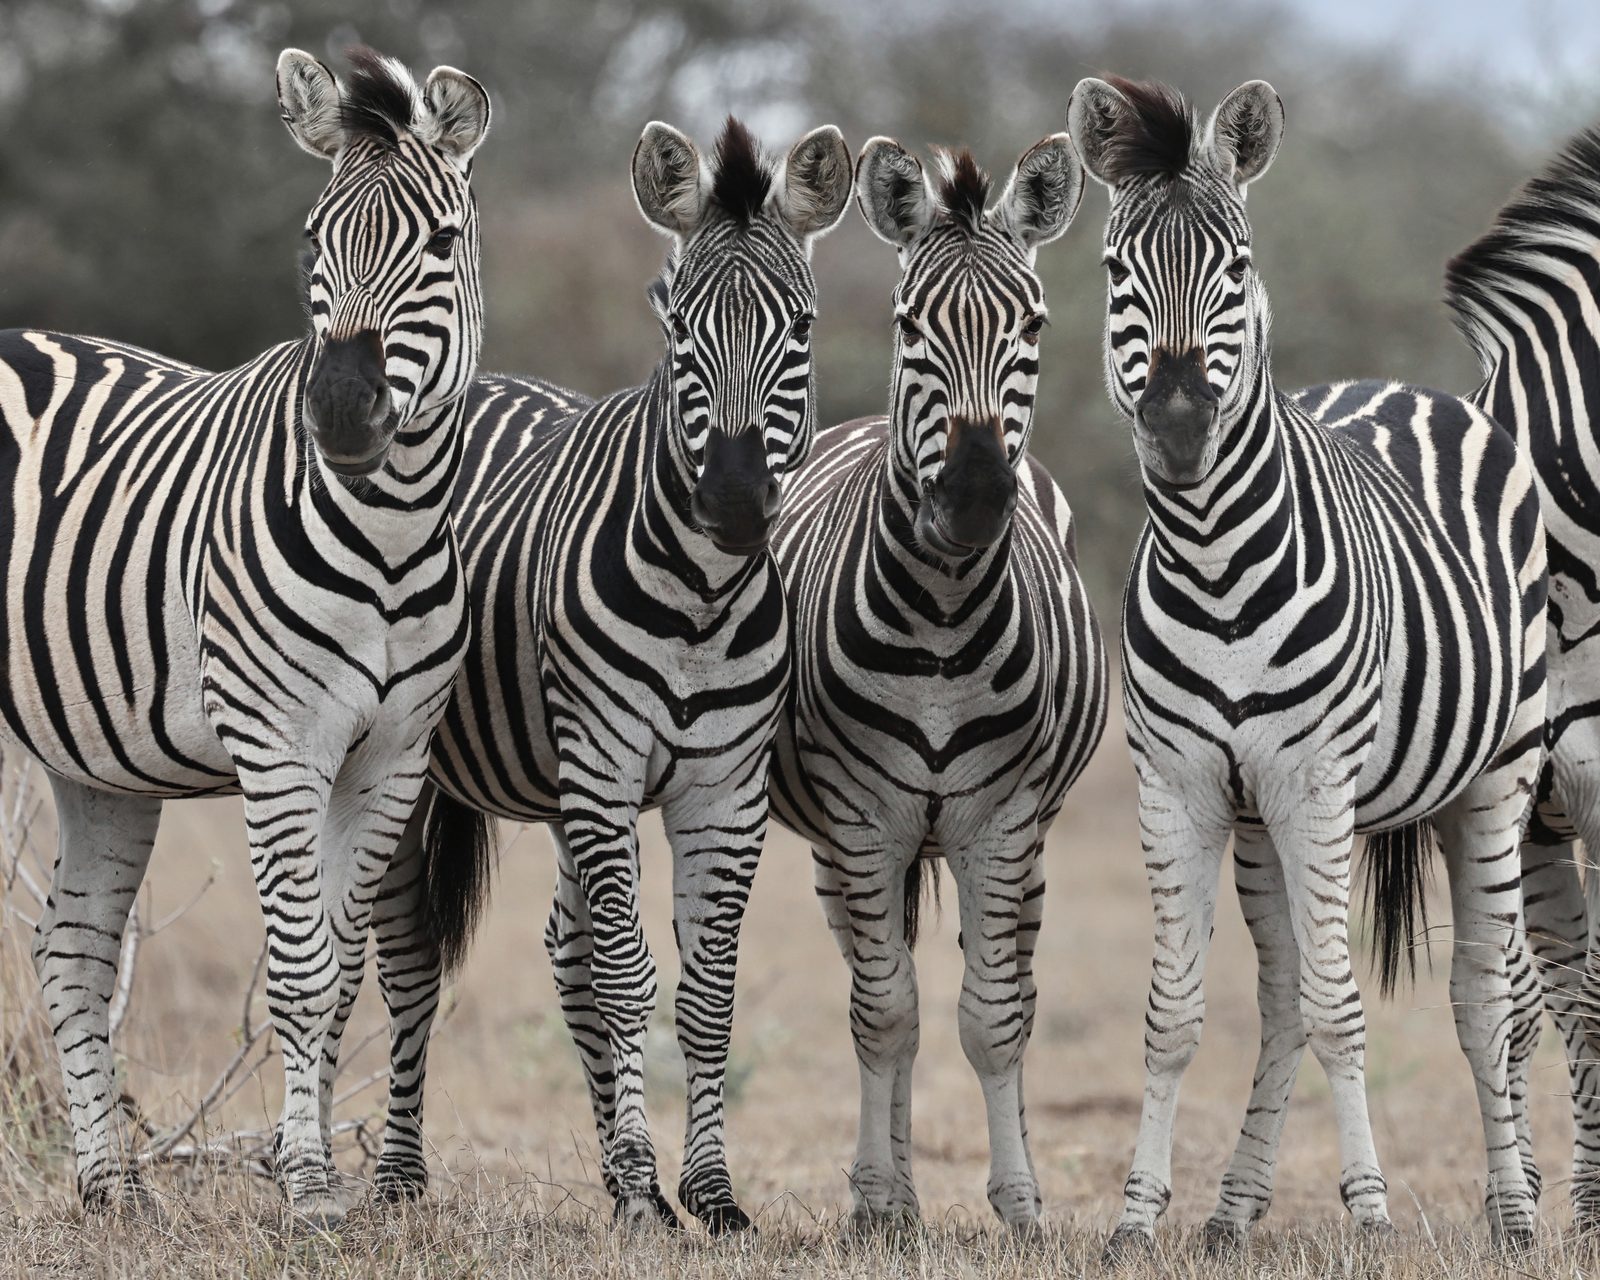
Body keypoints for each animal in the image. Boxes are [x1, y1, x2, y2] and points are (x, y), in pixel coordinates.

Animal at [2, 49, 489, 1224]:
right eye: (312, 242)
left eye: (440, 244)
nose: (344, 414)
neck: (390, 527)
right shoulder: (280, 747)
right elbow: (302, 967)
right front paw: (307, 1187)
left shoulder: (391, 758)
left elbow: (344, 964)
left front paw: (307, 1170)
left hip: (97, 758)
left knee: (72, 947)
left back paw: (111, 1186)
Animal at [357, 117, 853, 1232]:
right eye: (676, 329)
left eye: (802, 326)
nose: (735, 502)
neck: (702, 597)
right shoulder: (606, 761)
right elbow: (631, 976)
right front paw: (642, 1182)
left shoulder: (724, 788)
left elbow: (705, 988)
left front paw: (704, 1190)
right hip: (435, 767)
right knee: (408, 956)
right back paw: (396, 1177)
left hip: (560, 788)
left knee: (564, 952)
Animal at [765, 136, 1107, 1233]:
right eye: (908, 323)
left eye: (1033, 324)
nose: (972, 495)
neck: (946, 621)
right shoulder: (861, 819)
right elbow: (885, 1015)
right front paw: (879, 1202)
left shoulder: (1001, 821)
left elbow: (993, 1017)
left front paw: (1021, 1203)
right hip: (845, 852)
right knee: (888, 990)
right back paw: (896, 1190)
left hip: (1017, 844)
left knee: (1000, 987)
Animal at [1065, 75, 1548, 1253]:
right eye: (1113, 272)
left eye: (1237, 266)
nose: (1179, 428)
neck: (1214, 562)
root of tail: (1404, 386)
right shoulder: (1182, 786)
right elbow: (1178, 1009)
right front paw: (1137, 1215)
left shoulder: (1314, 781)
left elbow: (1341, 1004)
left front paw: (1369, 1213)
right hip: (1264, 824)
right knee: (1281, 993)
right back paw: (1235, 1208)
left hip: (1495, 775)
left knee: (1486, 992)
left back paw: (1514, 1211)